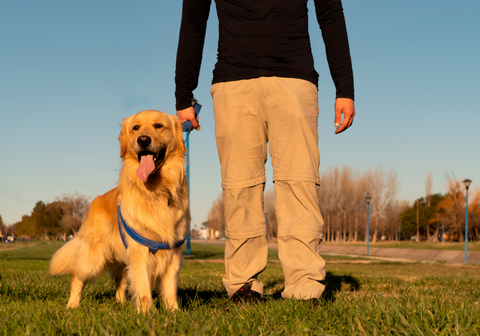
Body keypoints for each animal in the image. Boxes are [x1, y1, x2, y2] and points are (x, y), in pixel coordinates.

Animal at [49, 110, 189, 312]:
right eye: (136, 127)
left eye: (158, 126)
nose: (143, 140)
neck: (157, 191)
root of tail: (95, 201)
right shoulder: (140, 253)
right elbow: (144, 290)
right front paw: (147, 314)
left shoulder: (173, 255)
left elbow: (170, 291)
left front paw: (174, 313)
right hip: (92, 259)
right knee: (77, 278)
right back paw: (72, 306)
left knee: (120, 282)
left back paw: (120, 304)